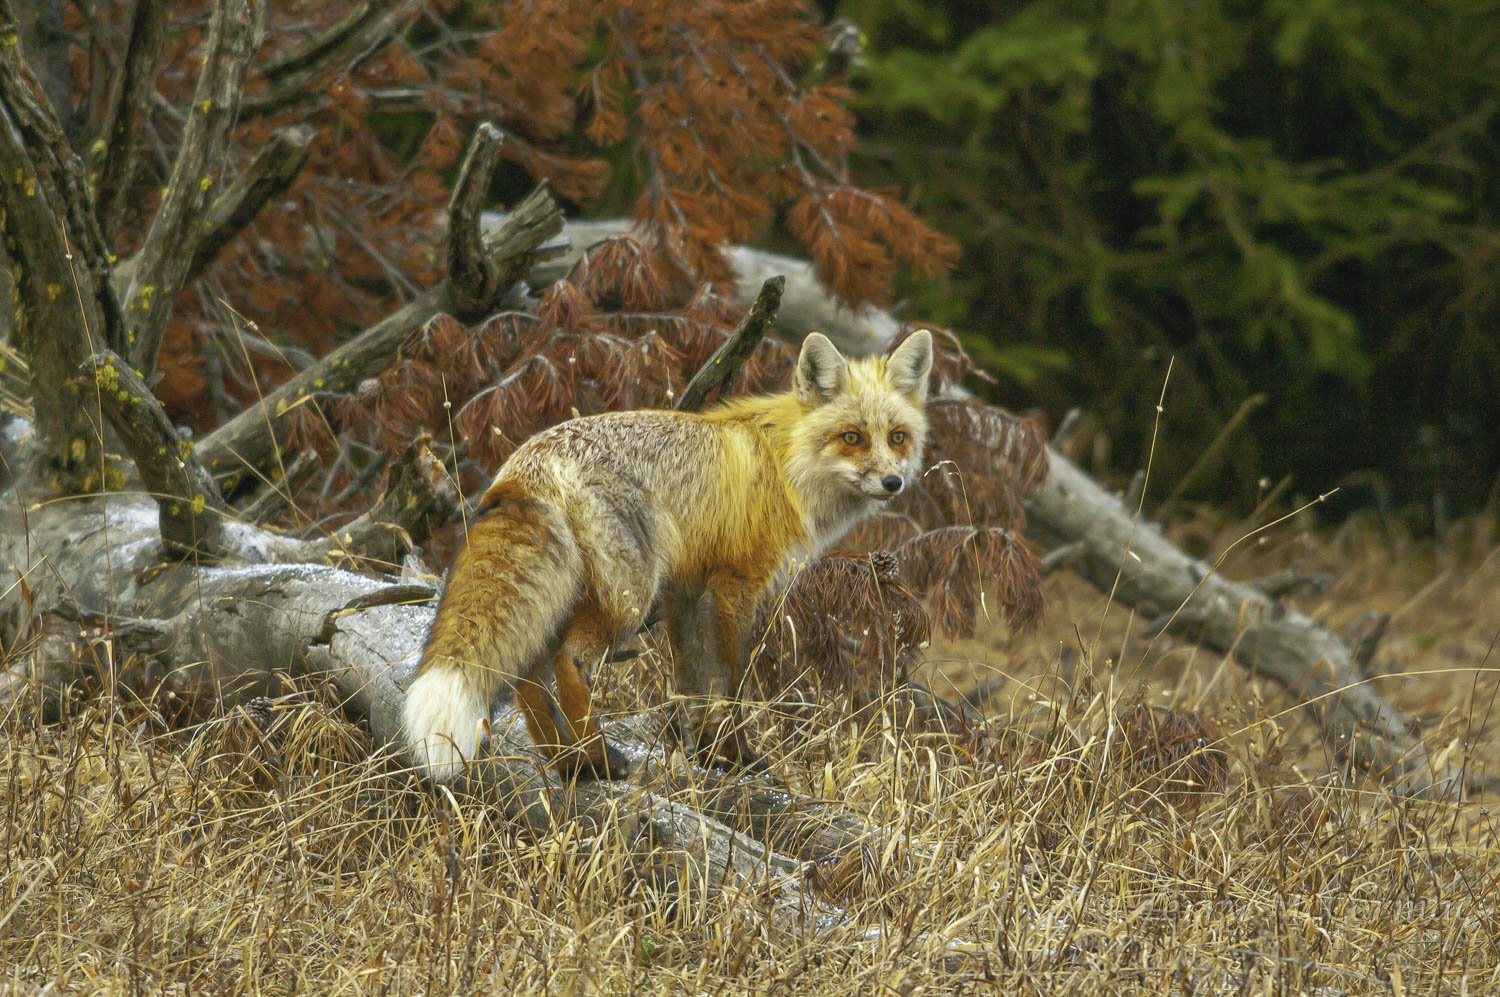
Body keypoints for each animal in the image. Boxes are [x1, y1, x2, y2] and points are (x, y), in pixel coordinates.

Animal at [402, 329, 934, 783]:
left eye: (897, 437)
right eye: (852, 437)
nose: (893, 482)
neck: (783, 464)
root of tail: (523, 465)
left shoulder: (686, 589)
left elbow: (692, 679)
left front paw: (706, 754)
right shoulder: (736, 583)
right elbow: (730, 681)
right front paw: (737, 756)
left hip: (571, 591)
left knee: (527, 677)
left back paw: (568, 763)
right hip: (630, 595)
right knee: (566, 662)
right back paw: (598, 760)